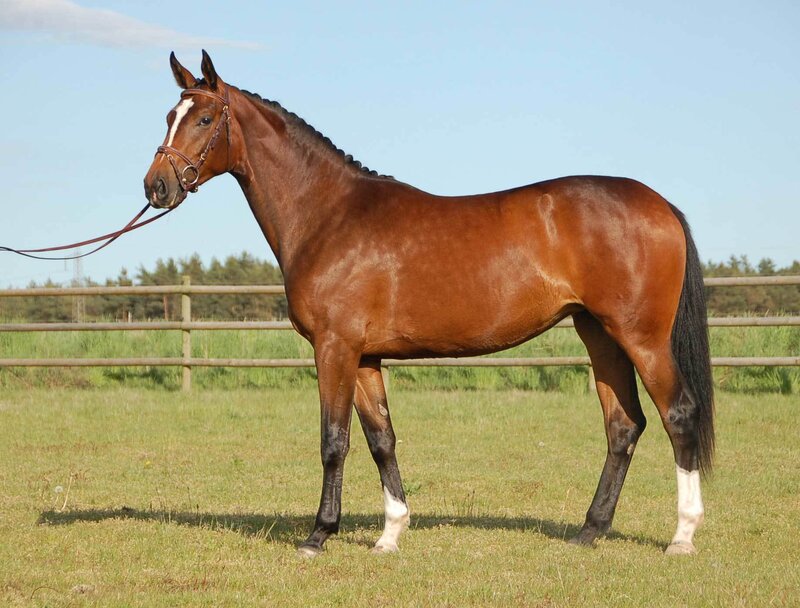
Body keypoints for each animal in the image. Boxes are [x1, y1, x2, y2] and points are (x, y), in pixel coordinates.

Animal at [144, 51, 714, 558]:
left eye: (204, 118)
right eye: (170, 117)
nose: (156, 186)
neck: (328, 214)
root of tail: (659, 204)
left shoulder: (334, 348)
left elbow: (333, 440)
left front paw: (318, 535)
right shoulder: (365, 357)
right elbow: (381, 439)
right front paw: (390, 534)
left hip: (641, 337)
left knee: (678, 415)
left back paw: (682, 536)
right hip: (599, 334)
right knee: (624, 426)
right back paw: (589, 531)